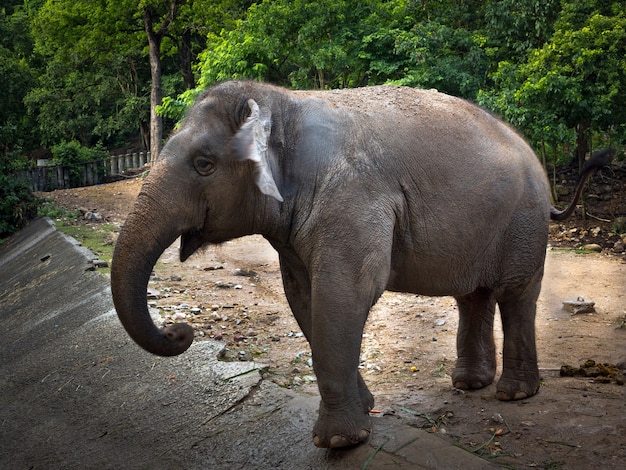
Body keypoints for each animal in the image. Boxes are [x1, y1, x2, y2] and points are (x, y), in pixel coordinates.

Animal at [111, 81, 608, 448]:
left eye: (203, 164)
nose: (179, 331)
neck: (283, 104)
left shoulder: (352, 200)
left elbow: (344, 292)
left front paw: (338, 442)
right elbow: (305, 298)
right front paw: (363, 409)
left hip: (523, 221)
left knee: (515, 293)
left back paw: (514, 393)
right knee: (473, 295)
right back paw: (469, 384)